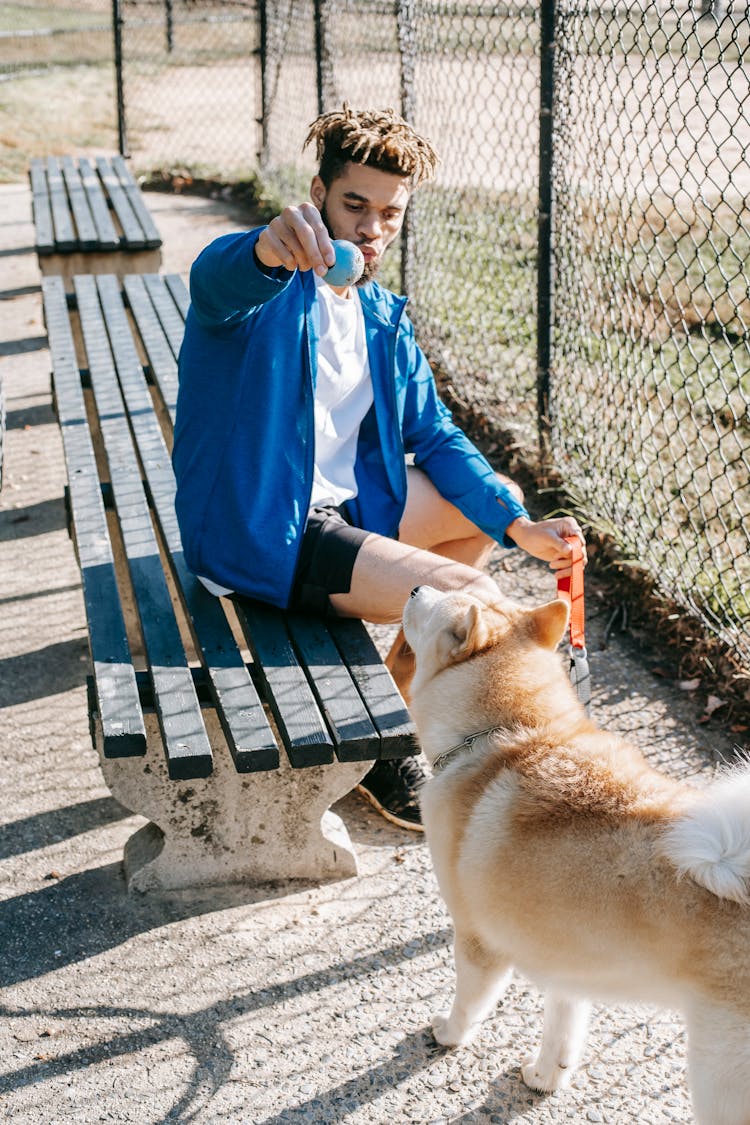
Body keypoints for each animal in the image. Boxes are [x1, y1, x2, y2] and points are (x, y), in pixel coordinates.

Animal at [402, 585, 750, 1120]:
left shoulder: (479, 944)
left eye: (439, 603)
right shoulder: (570, 961)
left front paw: (449, 1034)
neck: (514, 730)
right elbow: (562, 1030)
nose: (417, 587)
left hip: (718, 1079)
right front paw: (546, 1078)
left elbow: (468, 1006)